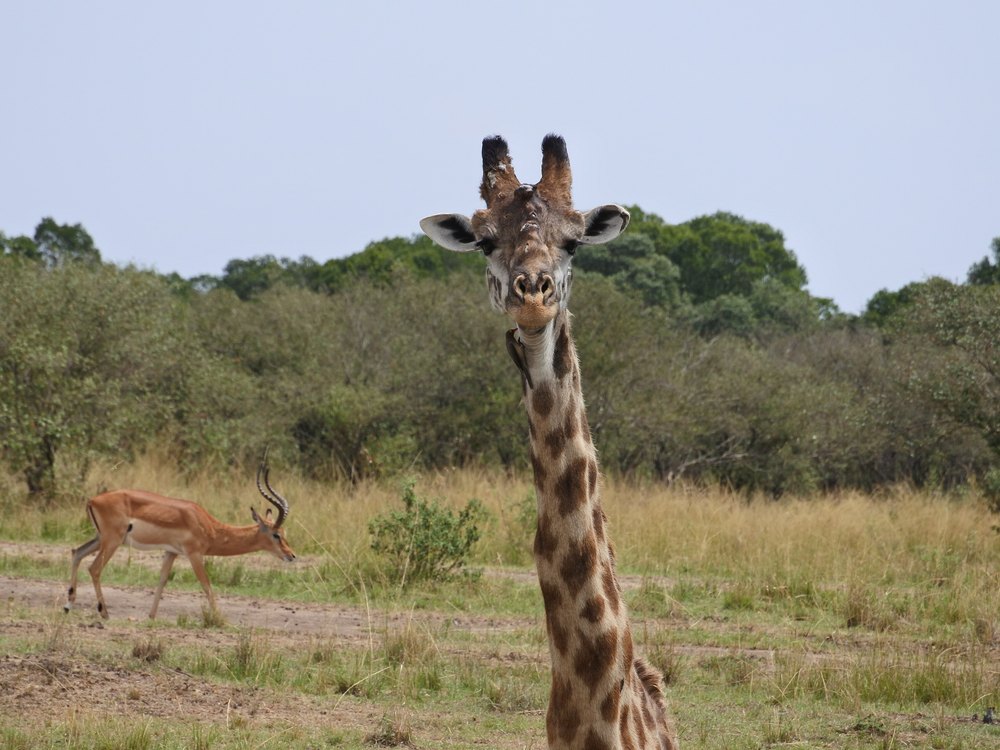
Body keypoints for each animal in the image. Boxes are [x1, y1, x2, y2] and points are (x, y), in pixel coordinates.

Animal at [64, 455, 296, 620]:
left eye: (284, 533)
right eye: (276, 534)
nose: (291, 555)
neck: (209, 527)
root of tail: (93, 500)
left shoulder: (171, 552)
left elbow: (162, 580)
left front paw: (151, 616)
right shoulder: (194, 554)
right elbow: (206, 584)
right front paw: (220, 619)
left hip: (101, 539)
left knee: (77, 552)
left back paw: (68, 605)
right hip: (112, 541)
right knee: (94, 568)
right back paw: (104, 612)